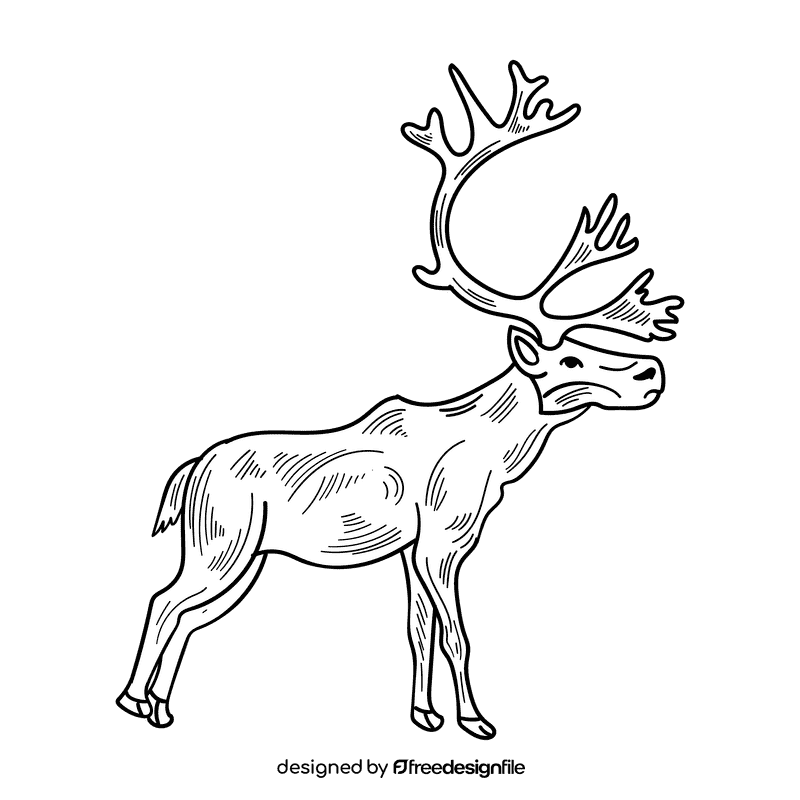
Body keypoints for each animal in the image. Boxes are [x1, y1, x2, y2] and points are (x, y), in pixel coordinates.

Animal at [117, 61, 682, 740]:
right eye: (568, 359)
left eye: (585, 347)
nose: (650, 372)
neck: (497, 455)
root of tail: (190, 474)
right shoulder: (443, 536)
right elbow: (457, 634)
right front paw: (474, 719)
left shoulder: (415, 548)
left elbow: (419, 630)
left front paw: (423, 712)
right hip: (222, 539)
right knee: (163, 602)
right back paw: (133, 700)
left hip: (241, 554)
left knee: (189, 616)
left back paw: (161, 705)